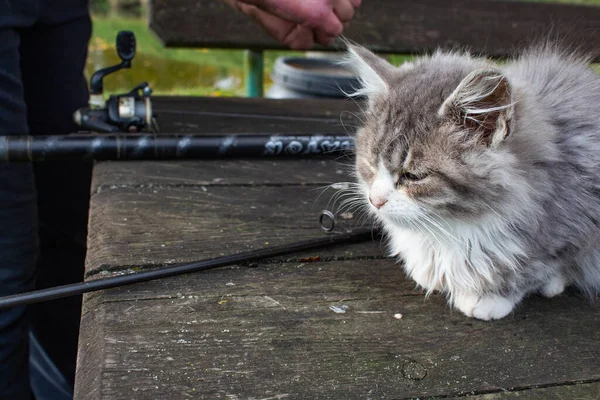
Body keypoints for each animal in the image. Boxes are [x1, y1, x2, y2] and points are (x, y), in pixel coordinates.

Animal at [342, 43, 600, 318]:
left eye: (413, 176)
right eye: (370, 165)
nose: (375, 200)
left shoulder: (572, 220)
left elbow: (537, 267)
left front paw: (490, 297)